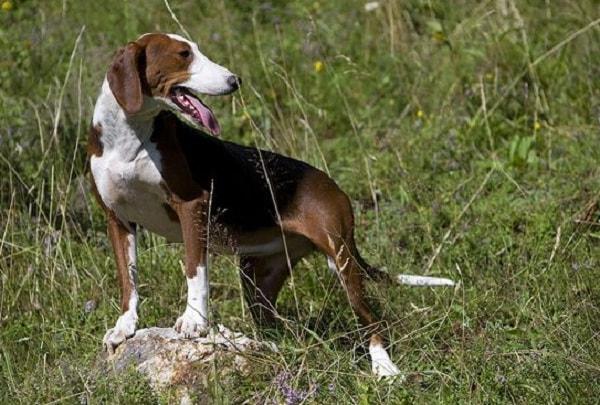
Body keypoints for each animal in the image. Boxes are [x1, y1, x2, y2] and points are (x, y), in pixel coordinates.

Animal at [89, 33, 452, 378]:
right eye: (184, 55)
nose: (235, 80)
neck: (129, 139)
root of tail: (331, 185)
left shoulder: (192, 207)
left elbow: (195, 271)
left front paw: (193, 320)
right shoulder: (118, 221)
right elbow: (128, 280)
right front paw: (125, 325)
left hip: (340, 259)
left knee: (371, 320)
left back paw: (384, 368)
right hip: (257, 278)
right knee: (273, 326)